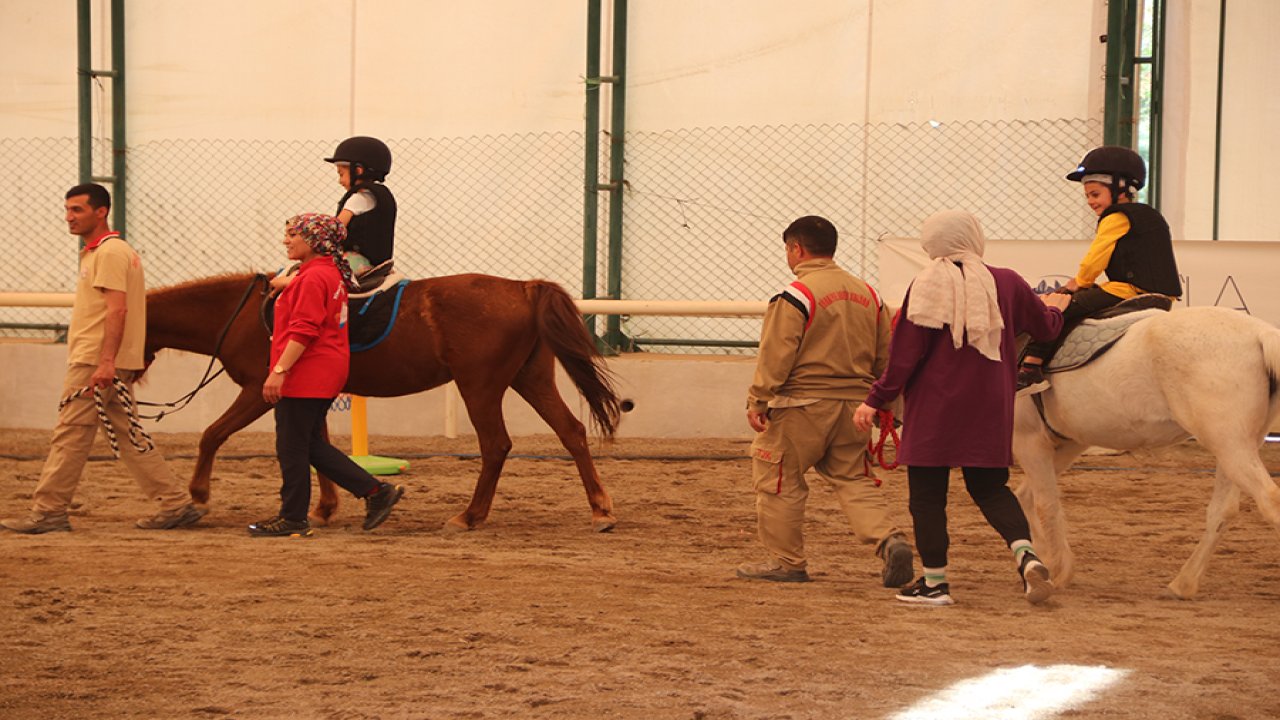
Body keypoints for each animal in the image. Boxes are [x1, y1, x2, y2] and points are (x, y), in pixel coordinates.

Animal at [142, 271, 622, 530]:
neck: (241, 314)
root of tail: (523, 287)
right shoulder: (306, 397)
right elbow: (318, 448)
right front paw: (325, 508)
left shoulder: (261, 393)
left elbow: (212, 434)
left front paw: (198, 496)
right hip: (531, 378)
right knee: (572, 432)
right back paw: (600, 510)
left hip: (480, 386)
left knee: (496, 446)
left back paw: (469, 516)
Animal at [1013, 304, 1274, 597]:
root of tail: (1259, 333)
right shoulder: (1069, 444)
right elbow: (1026, 496)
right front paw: (1043, 562)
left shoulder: (1029, 441)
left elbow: (1045, 503)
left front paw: (1058, 571)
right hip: (1234, 447)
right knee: (1222, 511)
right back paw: (1183, 584)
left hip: (1230, 446)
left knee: (1269, 500)